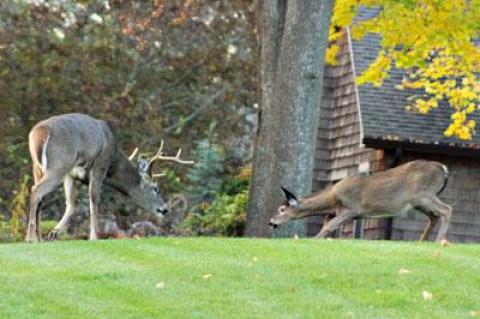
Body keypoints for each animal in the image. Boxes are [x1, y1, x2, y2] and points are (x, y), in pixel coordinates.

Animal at [26, 114, 193, 244]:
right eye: (155, 188)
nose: (164, 209)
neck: (113, 160)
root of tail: (39, 133)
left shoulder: (71, 174)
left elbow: (71, 205)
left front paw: (53, 233)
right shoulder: (100, 165)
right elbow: (94, 200)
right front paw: (94, 237)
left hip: (39, 167)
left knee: (40, 198)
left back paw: (38, 238)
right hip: (59, 163)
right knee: (36, 190)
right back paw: (30, 238)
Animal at [272, 161, 452, 244]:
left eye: (282, 209)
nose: (270, 221)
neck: (332, 199)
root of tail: (443, 169)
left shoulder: (351, 209)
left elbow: (329, 226)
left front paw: (313, 240)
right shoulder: (335, 212)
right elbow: (326, 225)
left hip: (424, 194)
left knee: (447, 209)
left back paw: (439, 241)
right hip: (419, 202)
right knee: (434, 217)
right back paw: (421, 242)